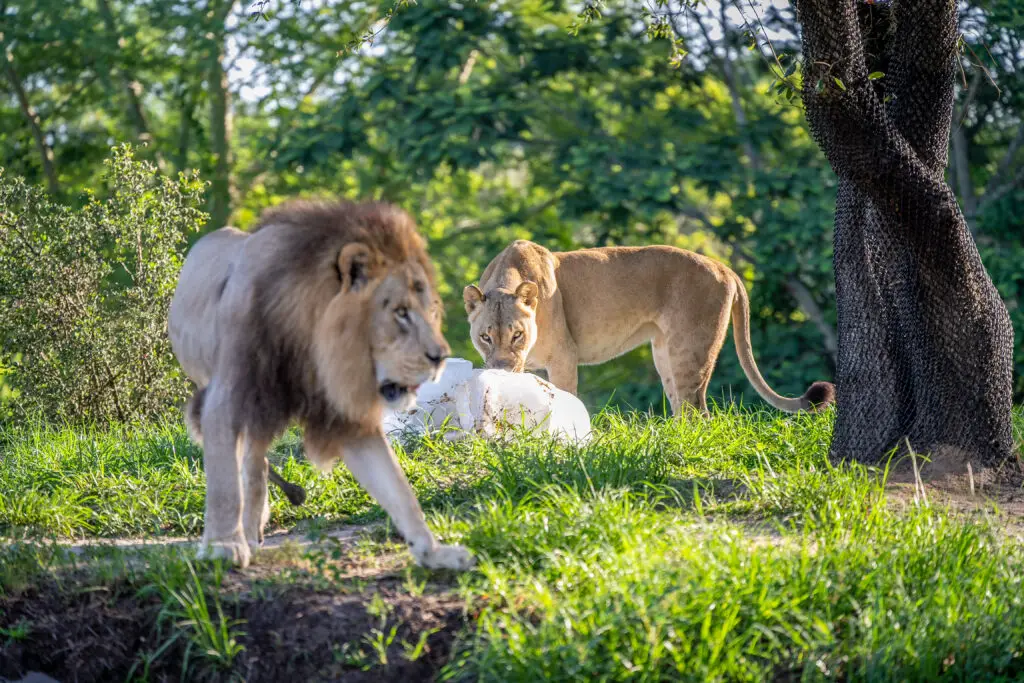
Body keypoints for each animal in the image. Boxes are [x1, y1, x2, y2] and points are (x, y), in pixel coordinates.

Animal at [169, 198, 473, 573]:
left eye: (430, 311)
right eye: (400, 312)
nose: (440, 357)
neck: (308, 342)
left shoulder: (345, 415)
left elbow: (399, 490)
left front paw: (433, 552)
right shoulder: (226, 400)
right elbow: (224, 485)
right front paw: (223, 547)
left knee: (257, 464)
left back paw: (254, 528)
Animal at [464, 240, 831, 413]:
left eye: (517, 334)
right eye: (485, 337)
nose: (501, 370)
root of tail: (725, 268)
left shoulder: (564, 356)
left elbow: (567, 397)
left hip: (690, 351)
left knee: (698, 411)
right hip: (665, 353)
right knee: (682, 407)